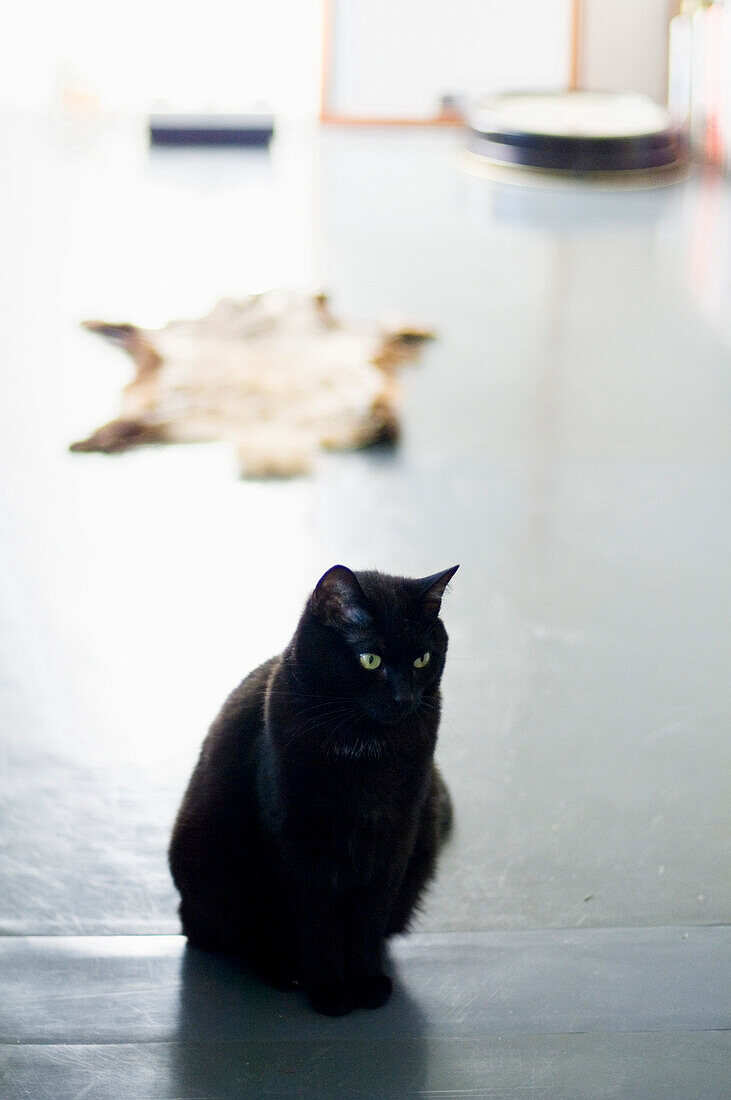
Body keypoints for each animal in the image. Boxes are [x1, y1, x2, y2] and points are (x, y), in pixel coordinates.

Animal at [168, 563, 459, 1016]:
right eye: (370, 659)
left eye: (422, 659)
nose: (404, 696)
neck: (364, 748)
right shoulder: (299, 846)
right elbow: (319, 924)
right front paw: (332, 990)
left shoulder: (395, 838)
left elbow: (368, 919)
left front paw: (368, 982)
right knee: (224, 934)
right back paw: (285, 970)